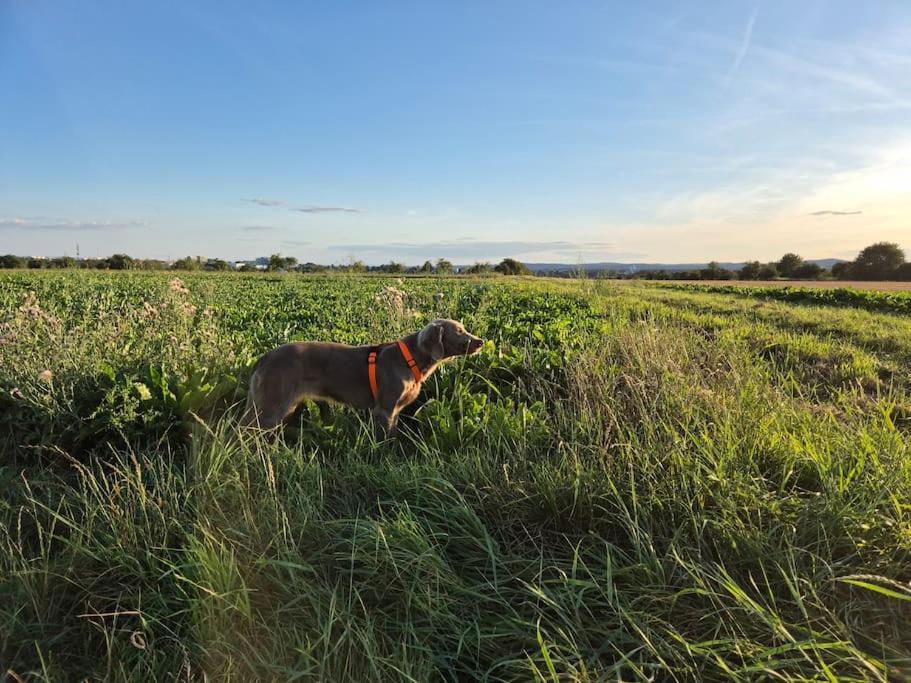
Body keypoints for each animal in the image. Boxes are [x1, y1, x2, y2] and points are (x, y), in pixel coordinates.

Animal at [240, 320, 484, 436]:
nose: (481, 341)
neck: (411, 359)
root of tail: (264, 357)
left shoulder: (394, 411)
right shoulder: (384, 409)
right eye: (459, 330)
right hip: (270, 407)